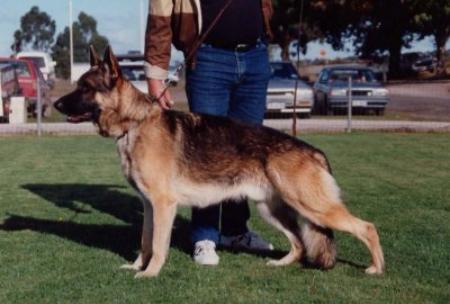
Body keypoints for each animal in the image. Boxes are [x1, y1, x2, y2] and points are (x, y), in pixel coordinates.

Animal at [52, 46, 384, 276]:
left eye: (85, 87)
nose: (55, 104)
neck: (135, 123)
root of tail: (314, 152)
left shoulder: (163, 205)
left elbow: (157, 246)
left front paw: (150, 273)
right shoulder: (149, 206)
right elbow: (145, 242)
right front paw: (137, 267)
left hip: (313, 207)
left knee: (366, 227)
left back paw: (376, 268)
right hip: (272, 210)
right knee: (300, 243)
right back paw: (280, 264)